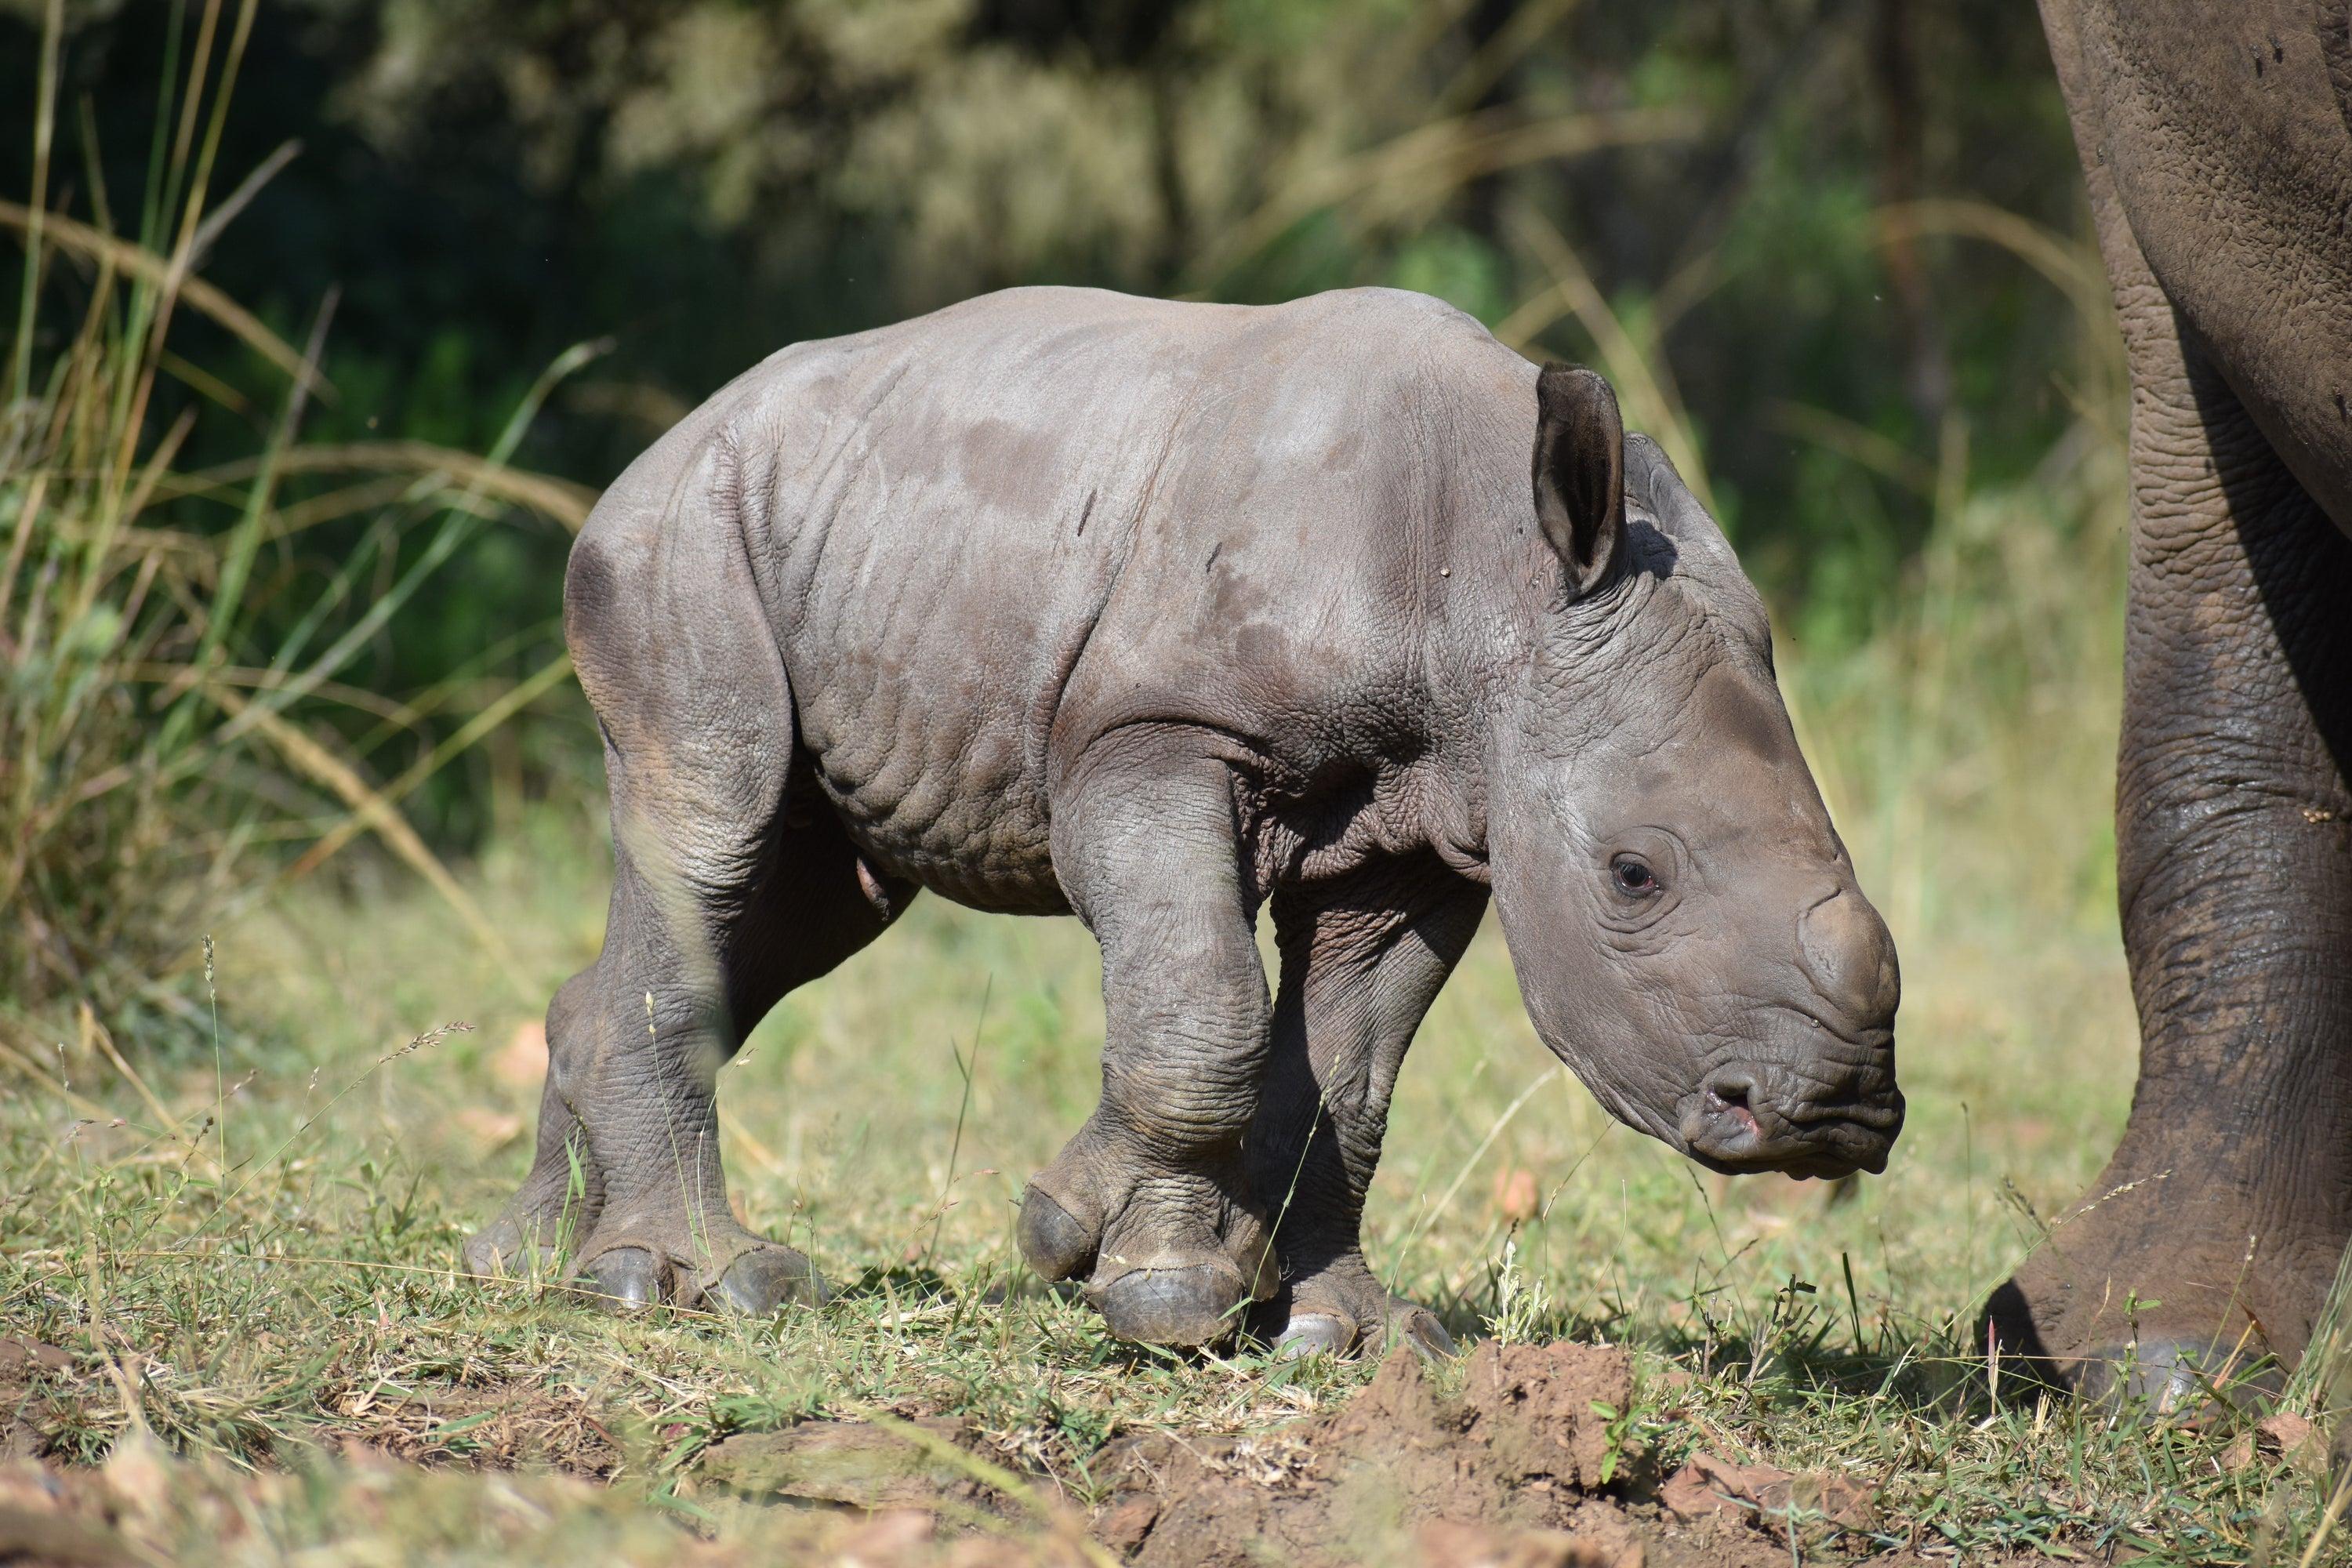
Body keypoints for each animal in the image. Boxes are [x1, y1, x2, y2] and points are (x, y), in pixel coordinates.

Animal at [464, 286, 1903, 1354]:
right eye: (1634, 876)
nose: (1830, 1116)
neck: (1497, 580)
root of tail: (661, 443)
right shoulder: (1150, 734)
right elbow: (1205, 1009)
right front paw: (1153, 1290)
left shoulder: (1433, 819)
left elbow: (1348, 1073)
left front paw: (1339, 1329)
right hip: (685, 535)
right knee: (714, 816)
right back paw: (714, 1284)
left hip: (836, 532)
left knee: (802, 906)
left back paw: (532, 1265)